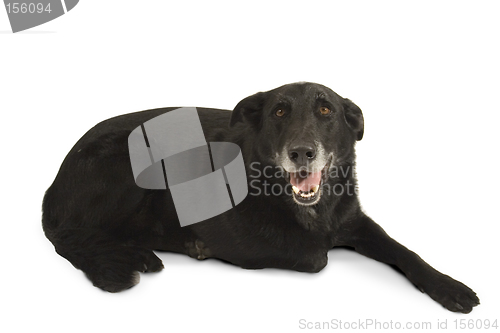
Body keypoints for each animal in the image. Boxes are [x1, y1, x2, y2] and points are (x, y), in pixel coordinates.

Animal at [41, 82, 478, 312]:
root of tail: (53, 185)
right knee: (77, 235)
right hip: (130, 165)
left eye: (326, 111)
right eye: (279, 113)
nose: (302, 152)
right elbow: (317, 256)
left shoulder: (356, 221)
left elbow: (404, 251)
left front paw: (449, 286)